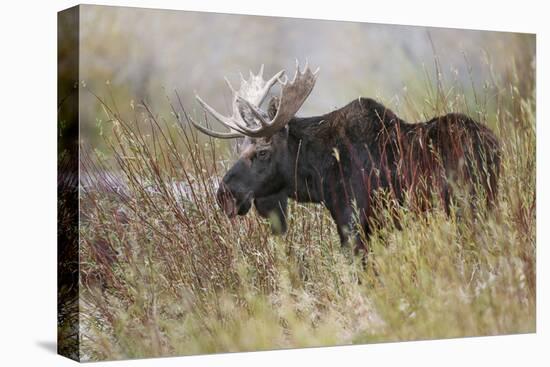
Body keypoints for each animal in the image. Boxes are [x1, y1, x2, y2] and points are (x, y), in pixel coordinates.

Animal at [190, 62, 504, 253]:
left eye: (263, 152)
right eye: (238, 148)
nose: (224, 194)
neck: (317, 176)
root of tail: (495, 146)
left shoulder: (353, 223)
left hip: (467, 206)